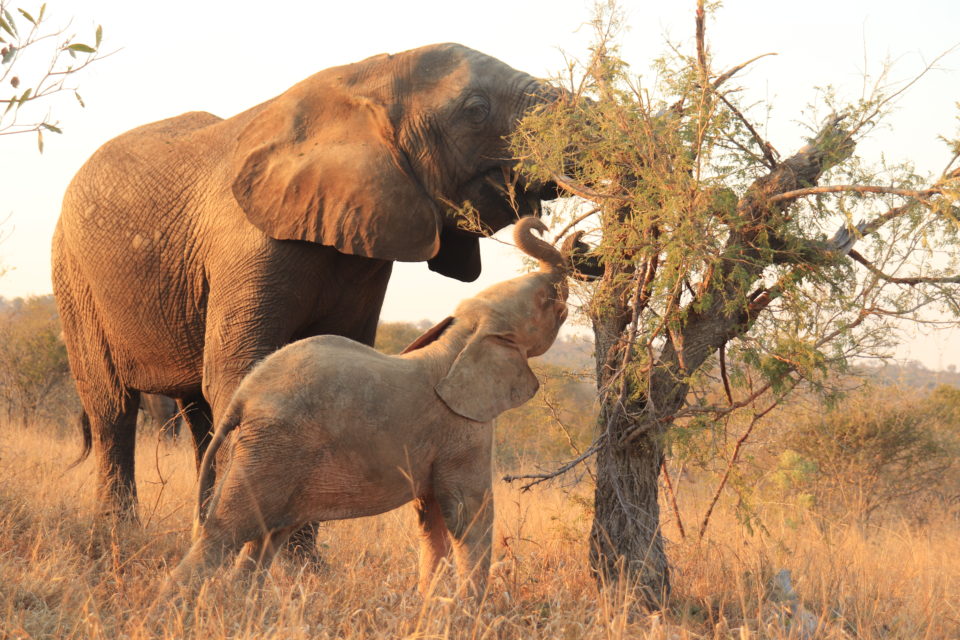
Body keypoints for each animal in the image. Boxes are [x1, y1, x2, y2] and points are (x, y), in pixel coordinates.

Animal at [52, 42, 570, 525]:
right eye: (476, 109)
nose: (547, 223)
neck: (363, 82)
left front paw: (298, 555)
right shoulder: (247, 242)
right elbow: (241, 371)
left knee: (197, 411)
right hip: (73, 277)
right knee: (112, 407)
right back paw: (118, 534)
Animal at [163, 217, 570, 597]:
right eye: (545, 300)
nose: (544, 225)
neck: (462, 339)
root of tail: (242, 397)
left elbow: (432, 517)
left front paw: (430, 603)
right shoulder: (463, 428)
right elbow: (467, 515)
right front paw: (471, 610)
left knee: (266, 535)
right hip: (273, 447)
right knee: (227, 530)